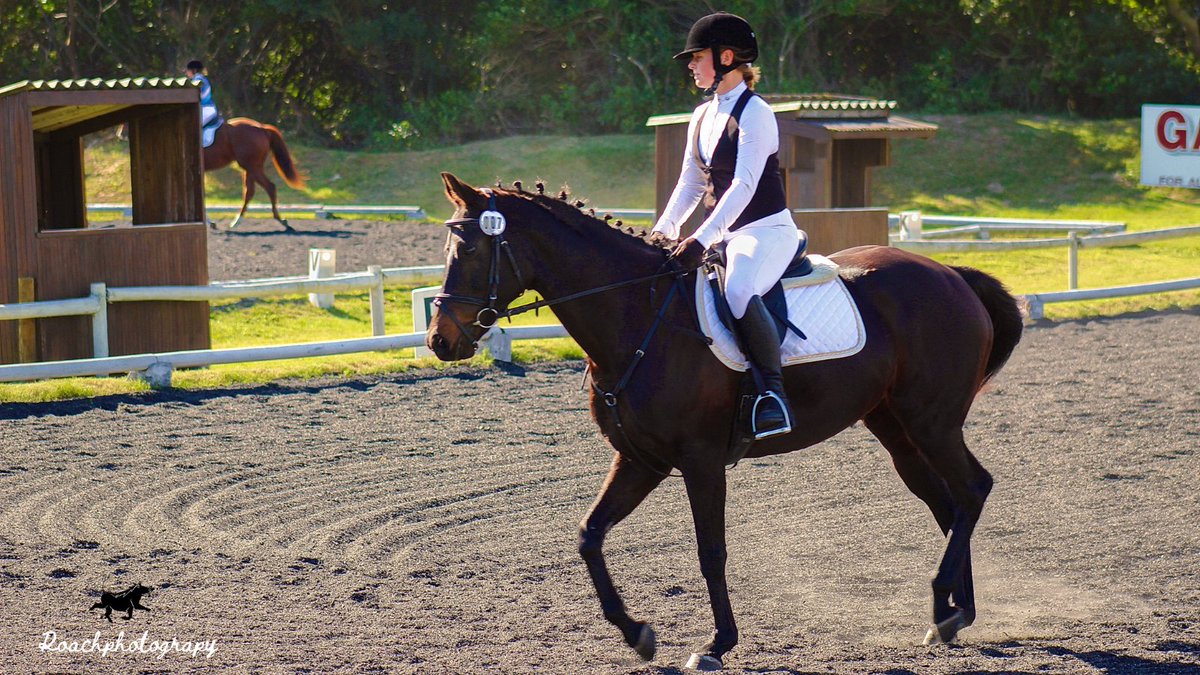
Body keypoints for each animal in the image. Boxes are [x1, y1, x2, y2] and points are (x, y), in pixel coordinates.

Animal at [427, 173, 1024, 671]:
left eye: (472, 248)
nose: (440, 341)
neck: (639, 318)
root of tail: (949, 274)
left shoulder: (701, 460)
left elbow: (710, 551)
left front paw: (717, 644)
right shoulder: (640, 460)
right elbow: (589, 535)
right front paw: (637, 634)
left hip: (932, 423)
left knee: (973, 490)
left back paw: (948, 607)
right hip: (899, 432)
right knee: (948, 504)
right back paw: (953, 615)